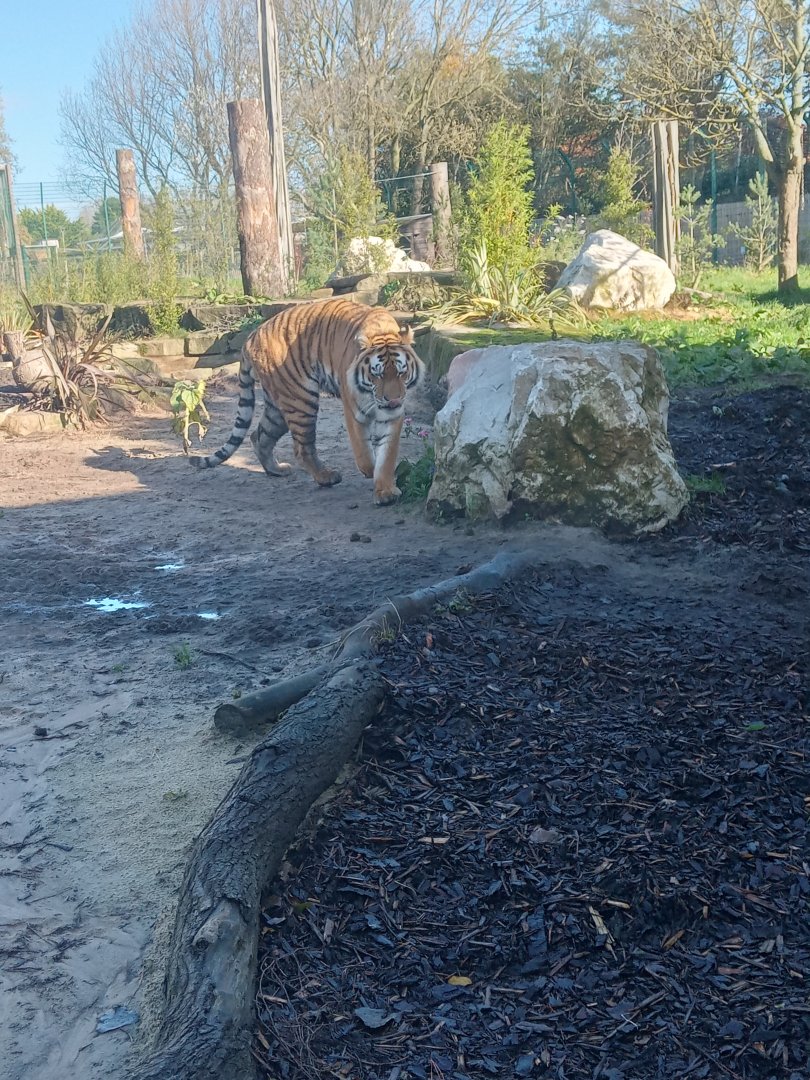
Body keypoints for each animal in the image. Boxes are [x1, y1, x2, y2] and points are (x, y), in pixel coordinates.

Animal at [189, 298, 424, 505]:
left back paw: (277, 470)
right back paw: (326, 476)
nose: (393, 400)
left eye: (401, 373)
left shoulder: (393, 415)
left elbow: (387, 454)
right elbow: (364, 452)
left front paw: (385, 490)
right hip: (300, 400)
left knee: (258, 436)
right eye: (378, 375)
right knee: (301, 448)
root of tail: (250, 339)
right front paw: (370, 471)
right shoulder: (354, 408)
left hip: (278, 407)